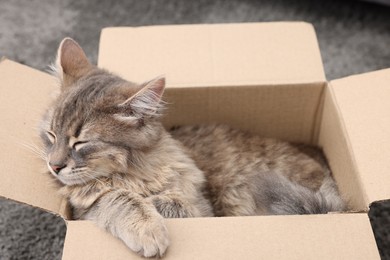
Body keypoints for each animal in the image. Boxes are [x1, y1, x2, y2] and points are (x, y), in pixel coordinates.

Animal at [39, 37, 344, 256]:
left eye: (81, 142)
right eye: (51, 135)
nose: (54, 166)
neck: (134, 172)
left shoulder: (200, 208)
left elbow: (163, 202)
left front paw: (150, 220)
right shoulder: (85, 209)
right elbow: (115, 199)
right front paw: (146, 225)